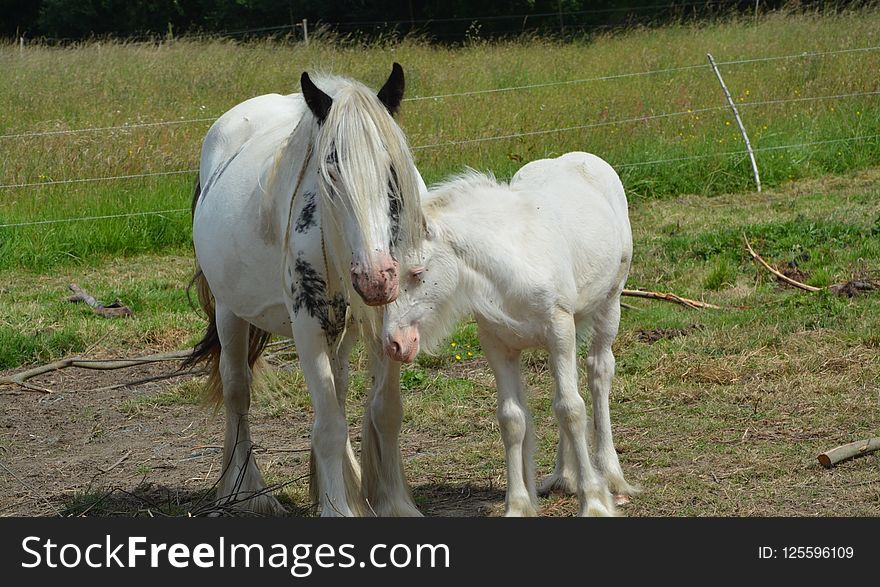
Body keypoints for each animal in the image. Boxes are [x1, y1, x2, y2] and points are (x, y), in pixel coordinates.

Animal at [187, 63, 428, 516]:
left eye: (391, 169)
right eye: (330, 170)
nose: (376, 278)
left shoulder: (389, 321)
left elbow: (384, 412)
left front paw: (390, 502)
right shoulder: (309, 325)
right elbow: (329, 425)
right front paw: (338, 509)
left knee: (338, 390)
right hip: (231, 313)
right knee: (237, 392)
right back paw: (245, 491)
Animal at [382, 153, 636, 520]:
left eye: (417, 272)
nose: (395, 343)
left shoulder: (558, 328)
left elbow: (571, 409)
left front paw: (594, 502)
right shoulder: (498, 344)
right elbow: (513, 419)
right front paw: (518, 504)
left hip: (610, 303)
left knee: (598, 374)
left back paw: (612, 477)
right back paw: (564, 475)